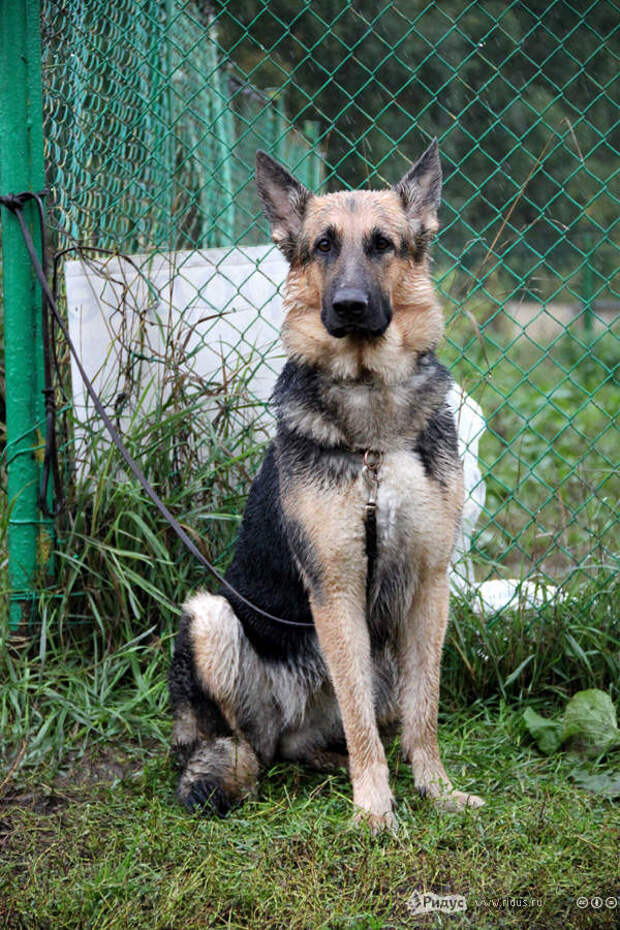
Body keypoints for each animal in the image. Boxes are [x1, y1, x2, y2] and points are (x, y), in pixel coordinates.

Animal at [168, 141, 484, 832]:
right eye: (322, 246)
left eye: (383, 245)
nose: (348, 308)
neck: (372, 414)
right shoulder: (337, 592)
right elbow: (361, 719)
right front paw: (374, 811)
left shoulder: (430, 586)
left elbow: (424, 712)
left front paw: (436, 789)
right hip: (210, 616)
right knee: (246, 746)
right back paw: (244, 772)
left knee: (320, 740)